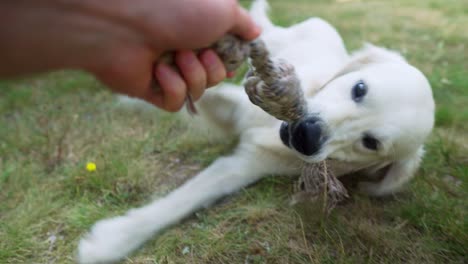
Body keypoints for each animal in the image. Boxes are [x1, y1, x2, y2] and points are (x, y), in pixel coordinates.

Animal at [77, 1, 436, 262]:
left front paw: (111, 240)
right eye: (359, 89)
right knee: (263, 27)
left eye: (371, 143)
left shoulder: (244, 165)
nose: (307, 134)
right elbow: (193, 92)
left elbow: (186, 198)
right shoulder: (234, 103)